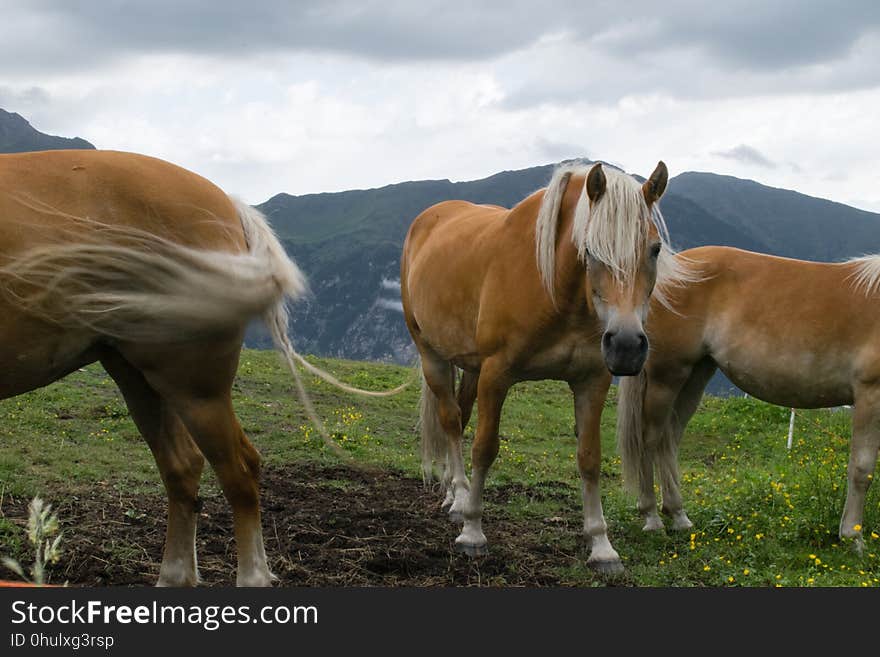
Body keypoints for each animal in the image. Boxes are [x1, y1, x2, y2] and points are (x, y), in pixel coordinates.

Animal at [0, 151, 402, 588]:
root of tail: (229, 204)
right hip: (138, 377)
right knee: (182, 467)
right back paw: (175, 576)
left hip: (195, 389)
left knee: (239, 470)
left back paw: (252, 577)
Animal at [400, 159, 696, 568]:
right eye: (589, 249)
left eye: (654, 249)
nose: (625, 345)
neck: (554, 289)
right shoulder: (496, 375)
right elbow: (485, 448)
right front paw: (473, 532)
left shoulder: (592, 381)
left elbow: (589, 458)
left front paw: (601, 545)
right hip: (433, 356)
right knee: (450, 420)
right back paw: (459, 498)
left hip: (471, 368)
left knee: (458, 417)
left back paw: (450, 491)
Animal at [616, 245, 880, 548]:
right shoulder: (870, 396)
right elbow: (862, 469)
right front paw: (853, 537)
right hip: (666, 376)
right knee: (650, 439)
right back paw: (651, 518)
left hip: (695, 376)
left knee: (668, 439)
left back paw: (679, 516)